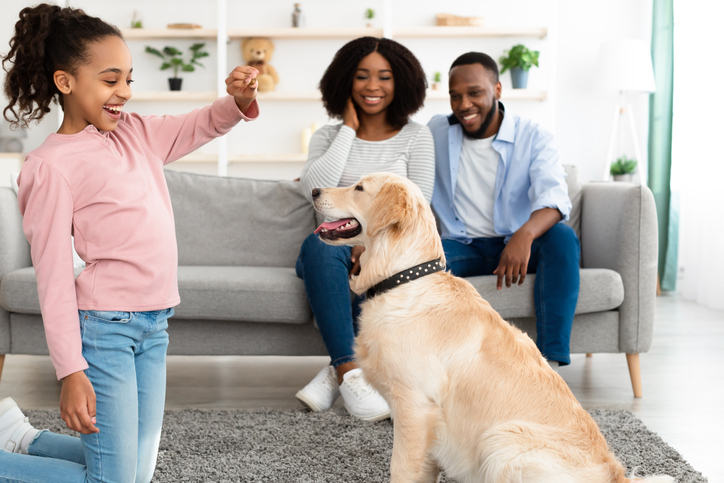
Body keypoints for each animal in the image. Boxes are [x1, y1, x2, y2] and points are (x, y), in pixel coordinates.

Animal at [312, 173, 672, 483]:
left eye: (359, 188)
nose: (314, 190)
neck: (403, 277)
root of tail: (617, 476)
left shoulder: (415, 407)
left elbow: (401, 468)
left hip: (500, 439)